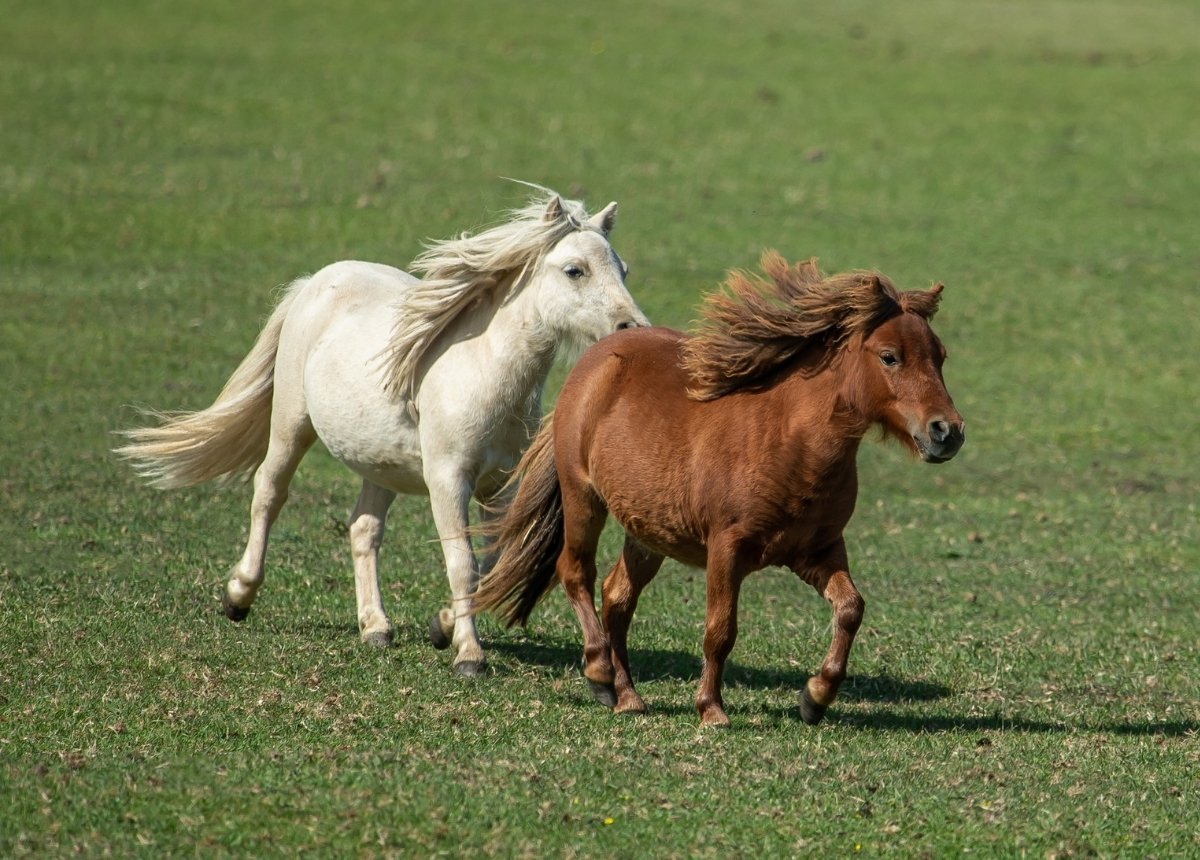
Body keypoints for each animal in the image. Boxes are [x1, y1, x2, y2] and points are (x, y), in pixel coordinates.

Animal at [114, 185, 648, 671]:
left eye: (622, 269)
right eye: (574, 270)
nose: (634, 329)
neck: (481, 370)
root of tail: (315, 282)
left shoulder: (499, 486)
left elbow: (491, 563)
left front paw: (441, 627)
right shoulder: (447, 480)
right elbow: (463, 564)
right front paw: (469, 655)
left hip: (380, 464)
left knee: (363, 530)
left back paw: (375, 626)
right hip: (290, 427)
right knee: (269, 492)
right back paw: (239, 595)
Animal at [470, 253, 964, 724]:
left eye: (940, 356)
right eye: (890, 356)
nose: (947, 432)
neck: (789, 443)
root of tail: (595, 360)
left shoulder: (817, 552)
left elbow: (850, 608)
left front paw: (815, 698)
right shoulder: (726, 549)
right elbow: (720, 631)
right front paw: (711, 709)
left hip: (647, 532)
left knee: (617, 597)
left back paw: (627, 696)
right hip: (583, 499)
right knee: (576, 573)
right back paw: (599, 674)